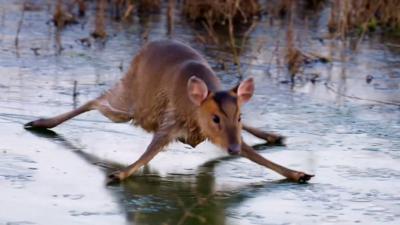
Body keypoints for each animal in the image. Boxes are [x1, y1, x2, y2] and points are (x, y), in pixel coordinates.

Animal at [23, 39, 314, 184]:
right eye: (215, 118)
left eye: (239, 117)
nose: (232, 149)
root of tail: (144, 48)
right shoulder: (170, 122)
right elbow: (147, 153)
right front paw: (119, 174)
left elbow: (258, 157)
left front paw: (300, 173)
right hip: (132, 104)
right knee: (96, 100)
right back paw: (39, 122)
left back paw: (274, 136)